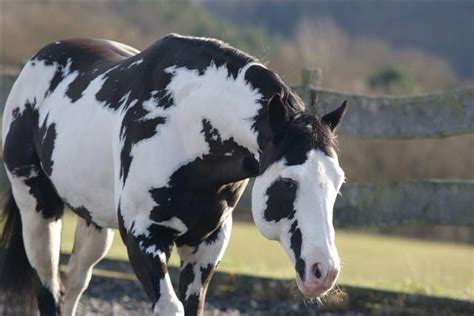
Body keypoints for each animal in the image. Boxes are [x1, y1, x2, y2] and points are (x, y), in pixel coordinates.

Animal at [0, 33, 348, 314]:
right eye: (288, 182)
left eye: (338, 183)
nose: (324, 272)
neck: (186, 124)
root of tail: (37, 61)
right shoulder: (142, 237)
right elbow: (170, 306)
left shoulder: (207, 245)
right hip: (38, 209)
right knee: (48, 285)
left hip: (94, 223)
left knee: (74, 284)